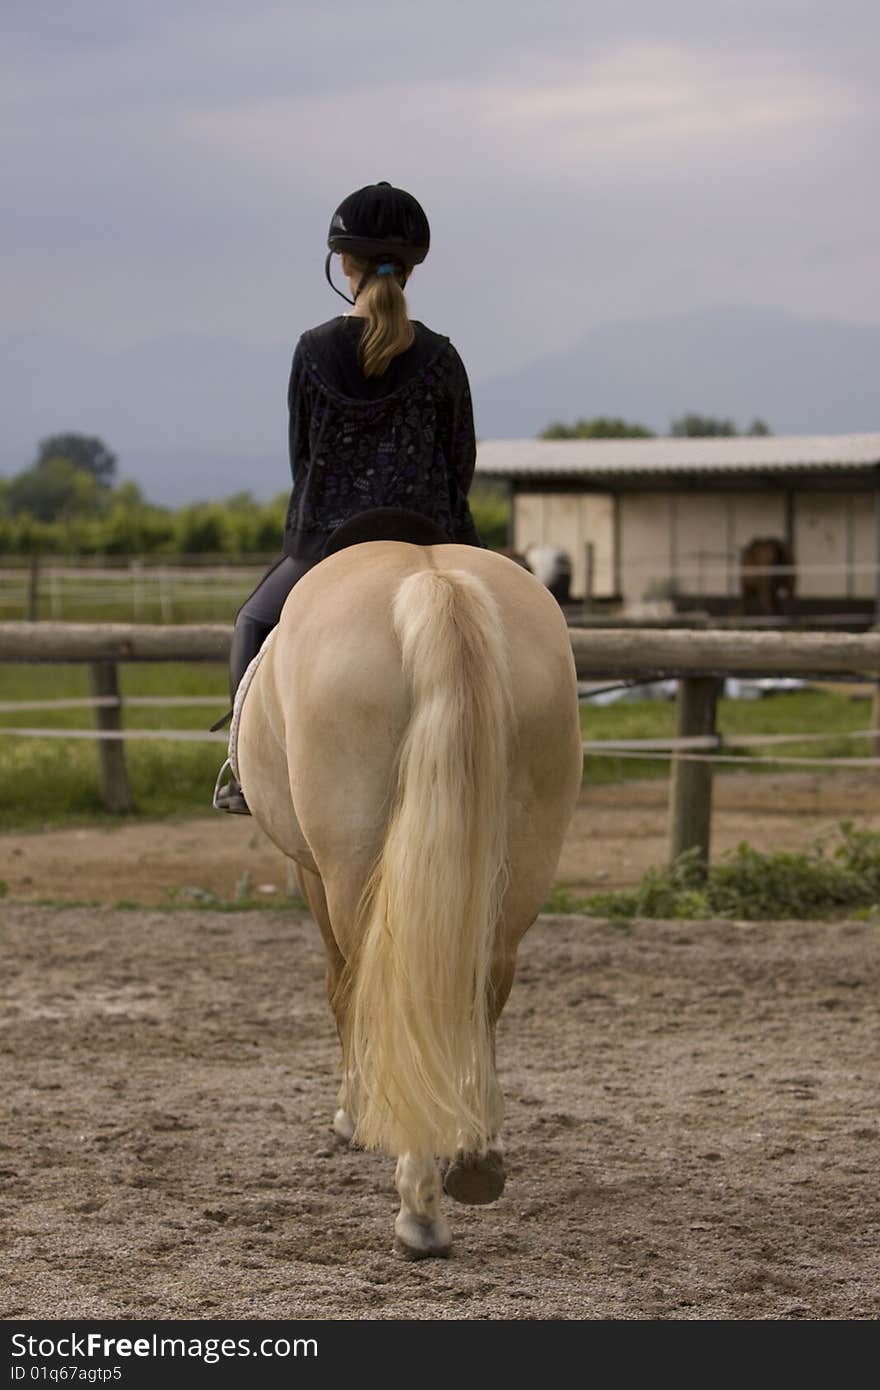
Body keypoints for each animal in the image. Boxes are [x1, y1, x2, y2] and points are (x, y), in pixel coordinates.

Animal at [234, 536, 583, 1256]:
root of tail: (435, 583)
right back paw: (476, 1156)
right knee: (480, 991)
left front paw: (351, 1117)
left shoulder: (313, 876)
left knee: (382, 991)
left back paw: (419, 1208)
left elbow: (341, 992)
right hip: (522, 865)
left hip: (351, 871)